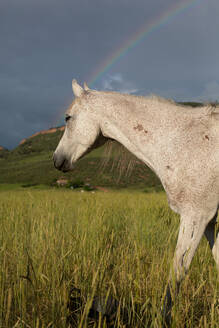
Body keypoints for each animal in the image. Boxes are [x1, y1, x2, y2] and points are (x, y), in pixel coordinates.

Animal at [53, 79, 219, 322]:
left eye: (67, 117)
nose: (56, 159)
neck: (184, 142)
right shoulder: (210, 222)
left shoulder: (195, 216)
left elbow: (176, 275)